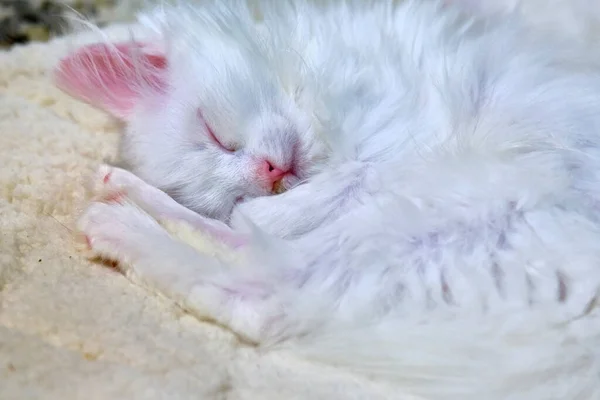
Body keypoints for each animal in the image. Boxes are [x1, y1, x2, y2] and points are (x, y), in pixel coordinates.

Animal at [58, 0, 600, 400]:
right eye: (228, 178)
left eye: (215, 135)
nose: (269, 174)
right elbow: (258, 214)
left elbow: (272, 211)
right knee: (263, 287)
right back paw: (119, 206)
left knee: (264, 284)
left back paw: (119, 218)